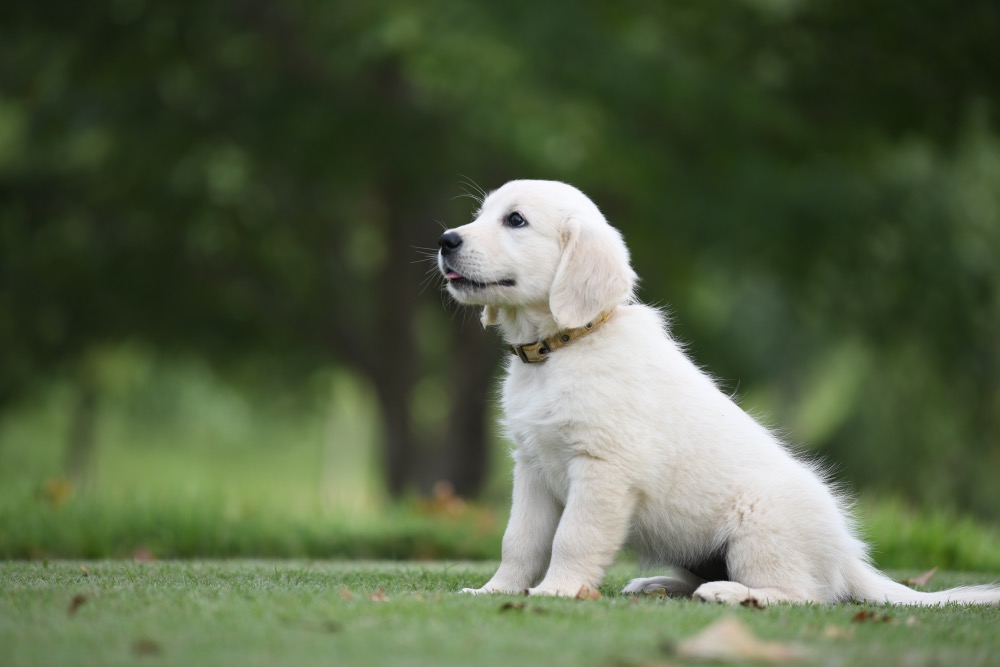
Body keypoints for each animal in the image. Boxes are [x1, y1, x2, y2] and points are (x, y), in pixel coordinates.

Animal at [438, 180, 1000, 608]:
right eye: (480, 214)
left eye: (516, 221)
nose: (445, 239)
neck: (563, 347)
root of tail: (847, 557)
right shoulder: (532, 467)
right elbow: (519, 540)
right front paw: (494, 590)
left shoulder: (602, 470)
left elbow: (571, 537)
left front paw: (557, 591)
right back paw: (660, 584)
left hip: (759, 528)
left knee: (805, 594)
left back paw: (730, 593)